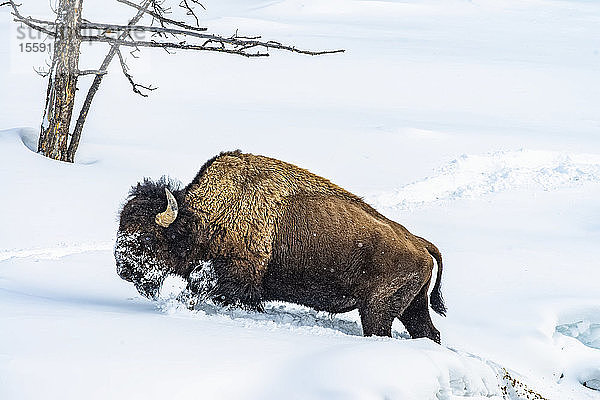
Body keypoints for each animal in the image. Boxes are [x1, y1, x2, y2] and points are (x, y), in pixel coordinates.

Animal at [116, 152, 446, 342]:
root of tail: (420, 243)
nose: (124, 270)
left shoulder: (237, 280)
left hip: (377, 311)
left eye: (147, 237)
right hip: (412, 306)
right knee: (428, 332)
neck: (204, 216)